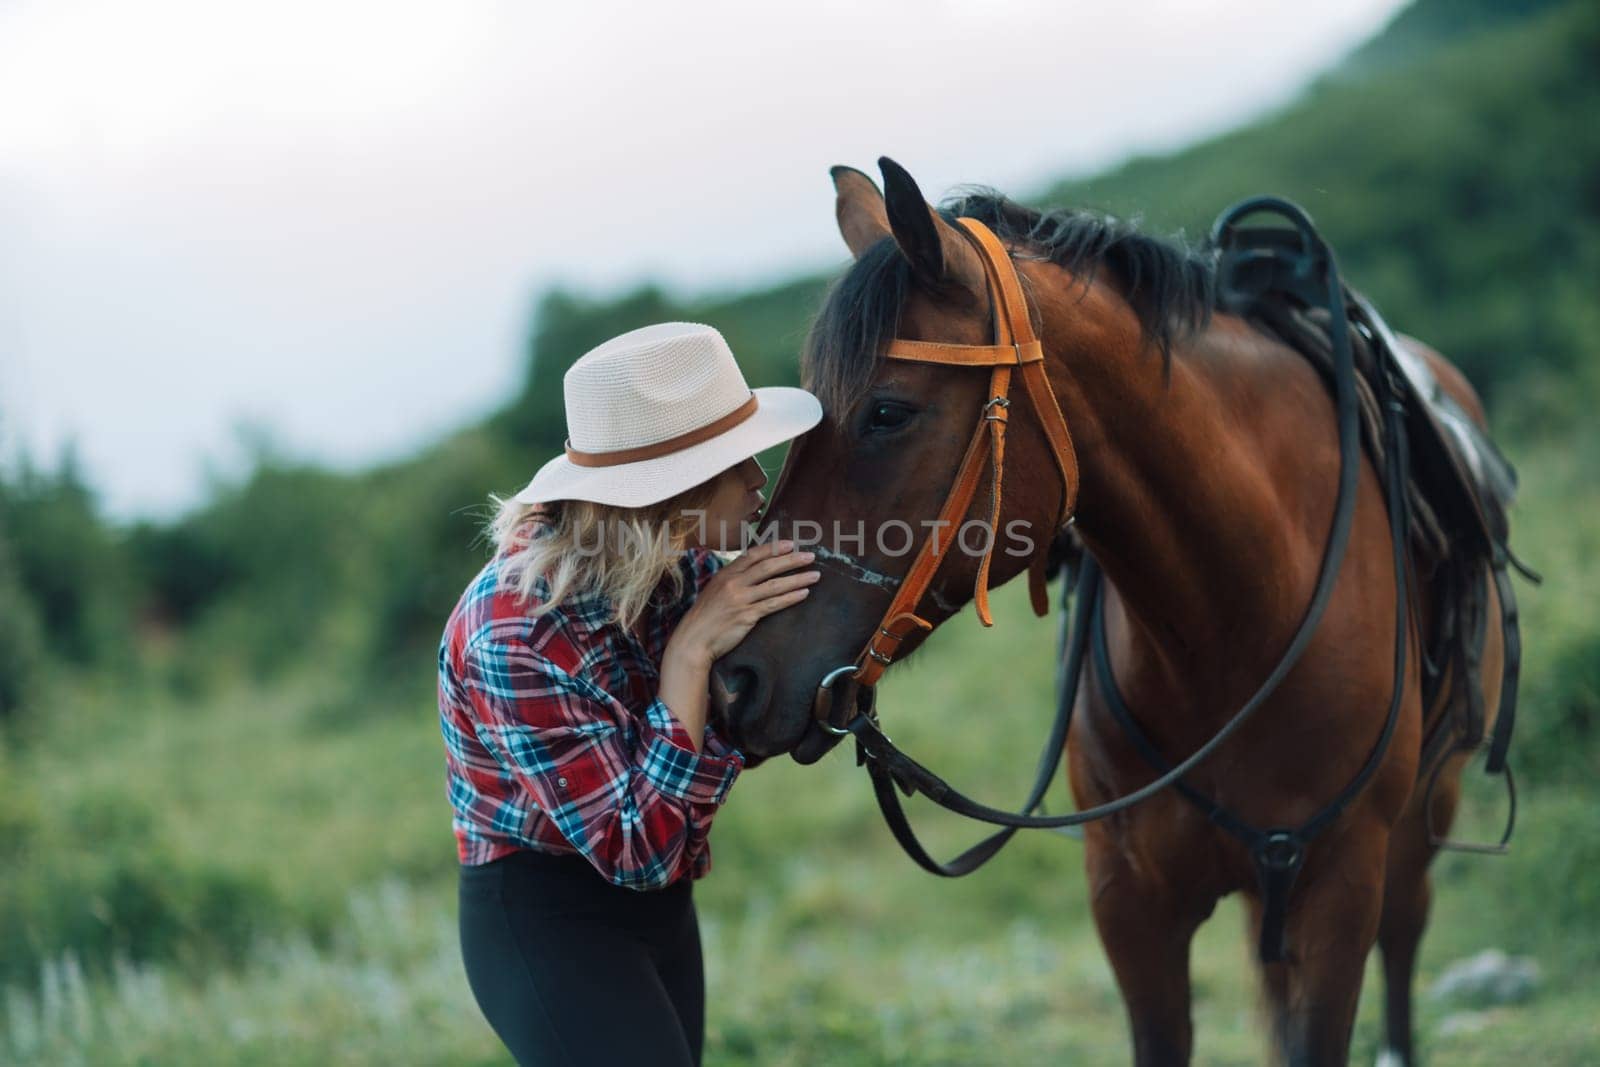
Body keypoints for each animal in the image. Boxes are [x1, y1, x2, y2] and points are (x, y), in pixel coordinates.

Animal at [713, 160, 1510, 1067]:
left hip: (1423, 822)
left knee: (1406, 942)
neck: (1235, 625)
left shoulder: (1339, 890)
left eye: (887, 411)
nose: (737, 677)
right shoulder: (1130, 906)